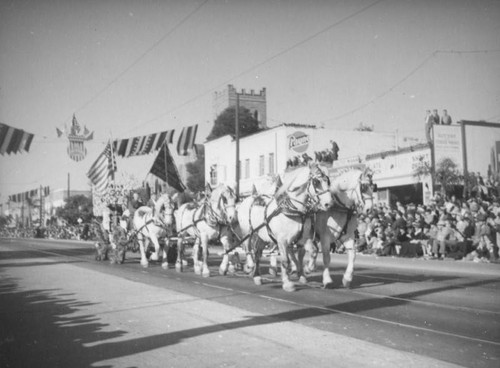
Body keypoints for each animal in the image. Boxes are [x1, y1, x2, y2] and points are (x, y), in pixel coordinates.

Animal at [237, 162, 334, 292]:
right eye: (316, 182)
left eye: (327, 181)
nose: (329, 204)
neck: (293, 208)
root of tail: (249, 198)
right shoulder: (282, 240)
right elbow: (285, 261)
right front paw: (287, 283)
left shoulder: (303, 238)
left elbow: (313, 251)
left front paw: (307, 269)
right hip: (248, 232)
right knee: (248, 248)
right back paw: (250, 266)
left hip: (263, 237)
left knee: (257, 253)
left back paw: (257, 276)